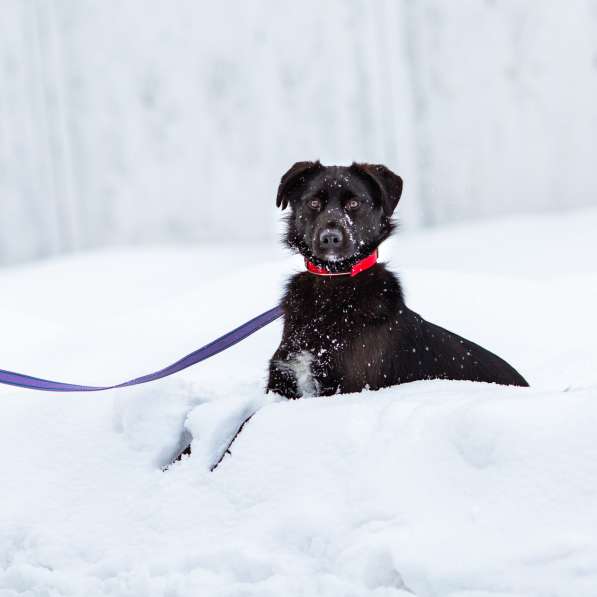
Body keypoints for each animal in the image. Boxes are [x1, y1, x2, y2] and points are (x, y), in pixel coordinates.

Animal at [266, 161, 528, 398]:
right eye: (313, 202)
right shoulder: (283, 379)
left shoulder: (347, 386)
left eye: (354, 203)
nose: (330, 237)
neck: (334, 281)